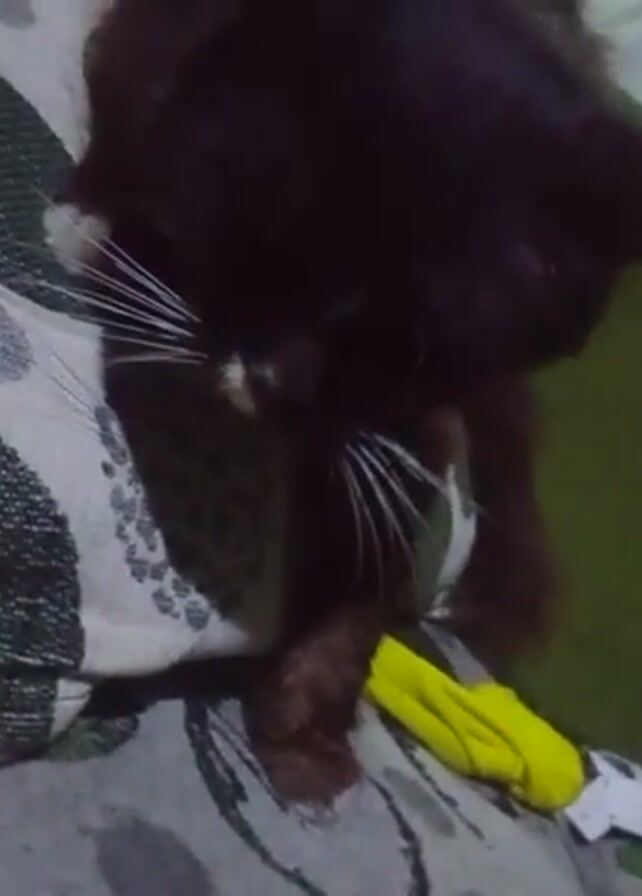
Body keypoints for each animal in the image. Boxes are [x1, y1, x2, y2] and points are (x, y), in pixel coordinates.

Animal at [45, 0, 642, 801]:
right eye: (267, 244)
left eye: (416, 346)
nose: (270, 384)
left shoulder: (415, 420)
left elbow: (378, 549)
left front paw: (305, 733)